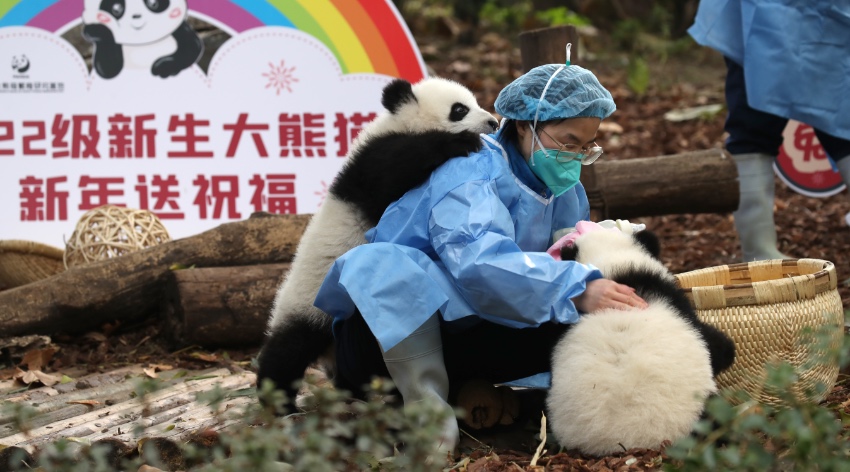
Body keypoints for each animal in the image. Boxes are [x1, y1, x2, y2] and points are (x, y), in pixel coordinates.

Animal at [256, 77, 499, 411]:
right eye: (459, 110)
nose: (493, 122)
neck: (400, 122)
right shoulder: (372, 163)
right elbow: (394, 170)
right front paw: (464, 143)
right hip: (310, 303)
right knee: (288, 350)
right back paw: (278, 403)